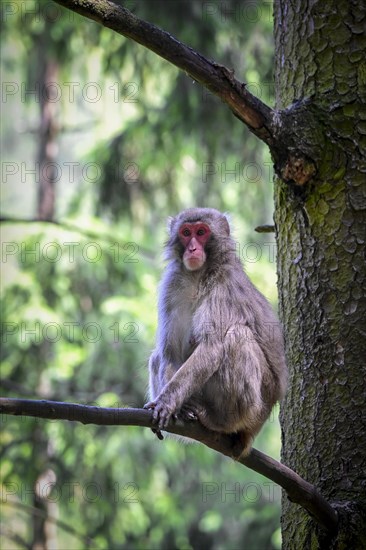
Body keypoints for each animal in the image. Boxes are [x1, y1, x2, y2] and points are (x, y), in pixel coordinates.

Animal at [144, 207, 288, 458]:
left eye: (201, 232)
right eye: (186, 233)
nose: (192, 248)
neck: (197, 275)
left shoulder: (224, 286)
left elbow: (212, 347)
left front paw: (167, 402)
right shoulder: (171, 285)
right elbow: (170, 353)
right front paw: (175, 405)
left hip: (259, 404)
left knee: (238, 336)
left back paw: (220, 421)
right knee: (157, 357)